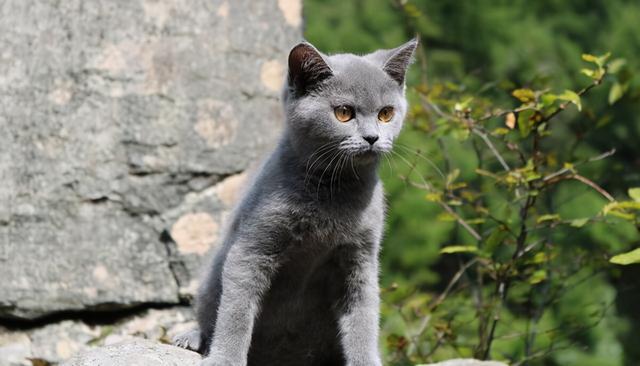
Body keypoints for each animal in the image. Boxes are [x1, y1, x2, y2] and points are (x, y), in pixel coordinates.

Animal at [172, 38, 418, 366]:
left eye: (386, 114)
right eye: (343, 113)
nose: (372, 137)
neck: (331, 191)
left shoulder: (360, 259)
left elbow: (363, 318)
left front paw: (366, 360)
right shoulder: (252, 249)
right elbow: (236, 312)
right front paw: (225, 358)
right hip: (210, 281)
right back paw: (192, 337)